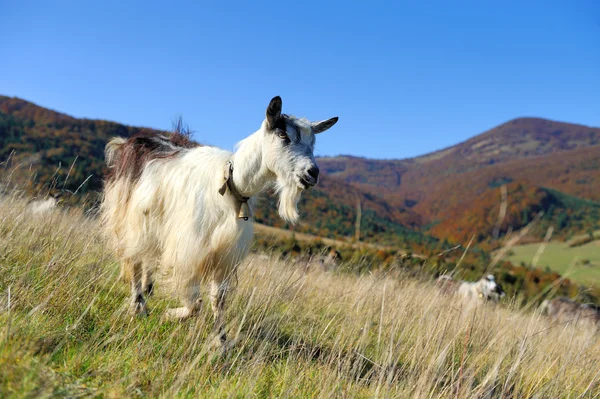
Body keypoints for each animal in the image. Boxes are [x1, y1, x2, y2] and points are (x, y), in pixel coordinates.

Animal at [101, 97, 340, 346]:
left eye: (312, 142)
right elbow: (195, 304)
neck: (231, 184)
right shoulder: (190, 249)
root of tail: (128, 142)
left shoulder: (225, 255)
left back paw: (148, 291)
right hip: (129, 217)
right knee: (134, 260)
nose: (312, 173)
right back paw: (138, 306)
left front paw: (221, 340)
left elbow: (218, 299)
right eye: (283, 135)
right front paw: (171, 314)